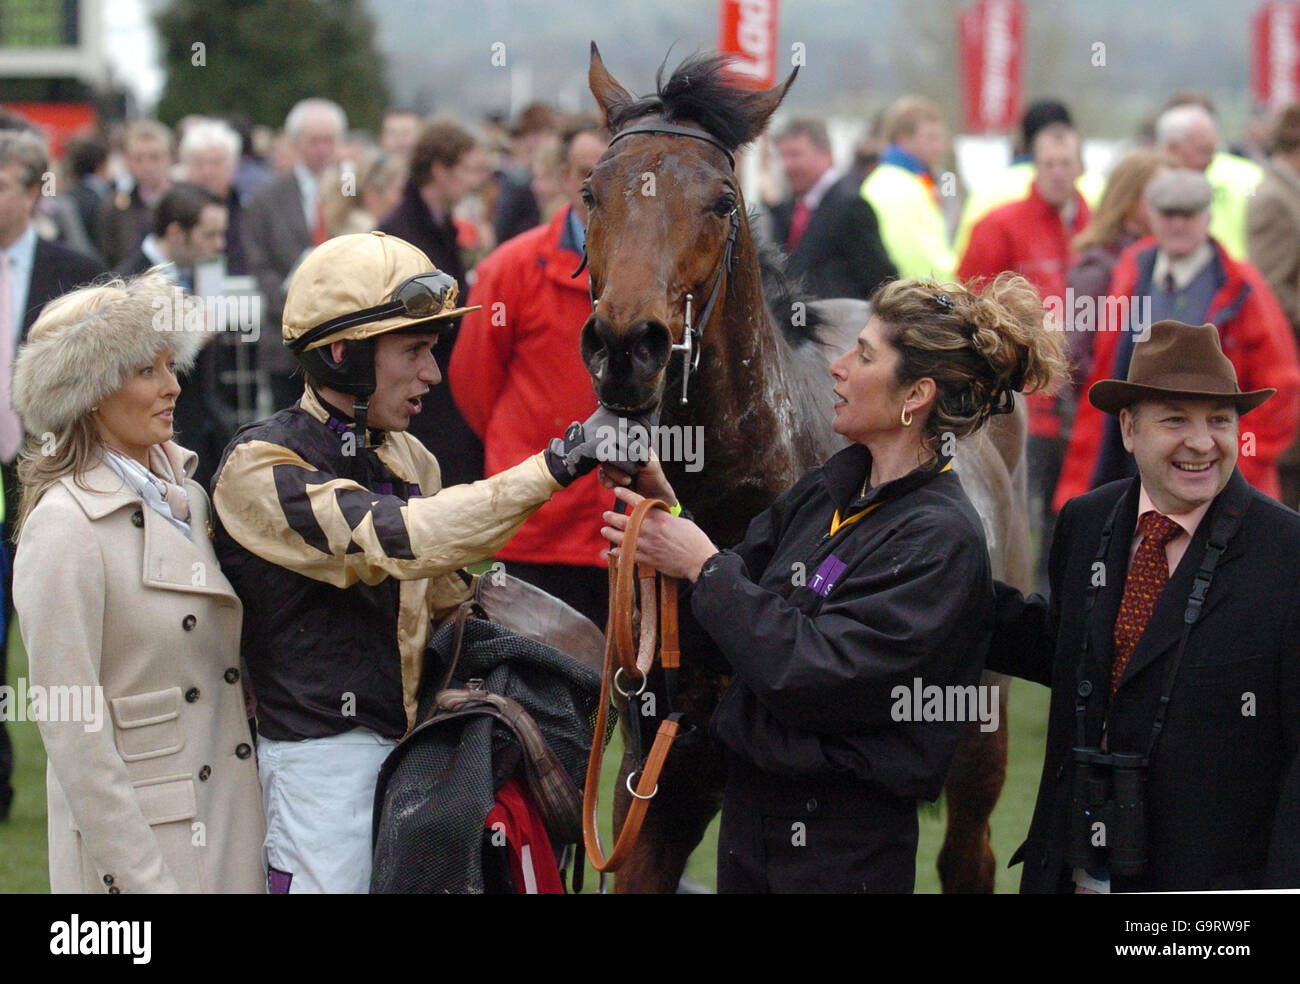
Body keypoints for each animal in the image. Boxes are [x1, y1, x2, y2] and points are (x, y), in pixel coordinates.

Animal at [579, 46, 1024, 889]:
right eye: (591, 191)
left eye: (722, 202)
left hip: (979, 743)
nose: (625, 346)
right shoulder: (652, 785)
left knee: (968, 854)